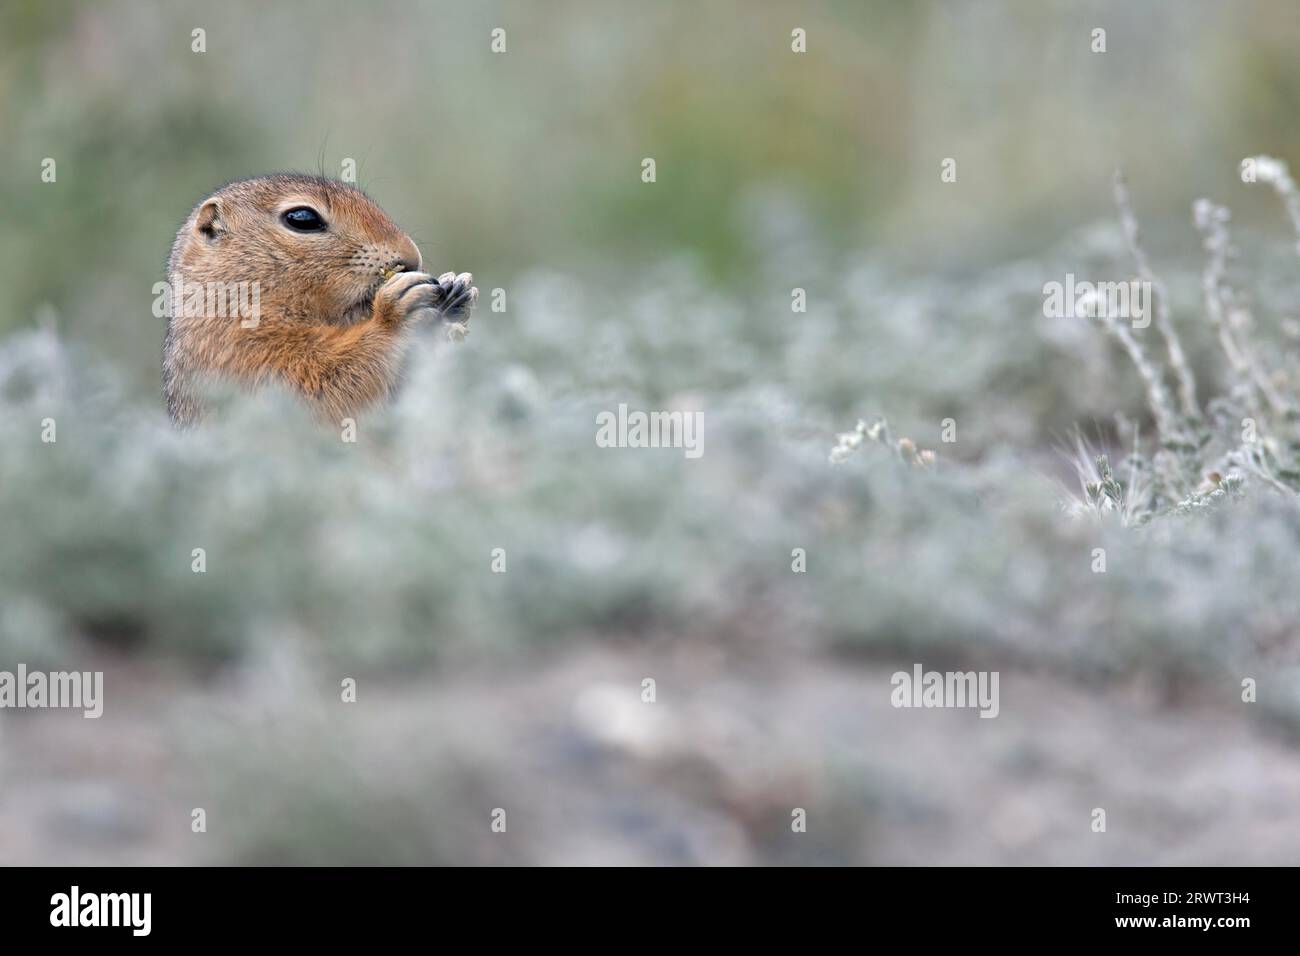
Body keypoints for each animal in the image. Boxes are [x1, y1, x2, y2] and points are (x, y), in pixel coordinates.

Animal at [161, 172, 478, 426]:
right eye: (302, 218)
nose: (412, 257)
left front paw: (454, 293)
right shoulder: (240, 353)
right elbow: (323, 389)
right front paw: (394, 314)